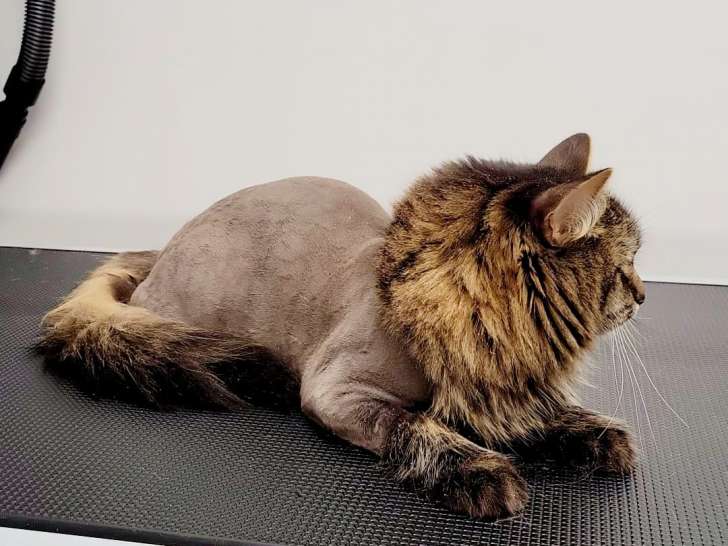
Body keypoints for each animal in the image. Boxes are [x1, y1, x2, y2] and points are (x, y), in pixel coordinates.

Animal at [37, 133, 643, 519]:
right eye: (627, 264)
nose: (642, 295)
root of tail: (160, 250)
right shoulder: (336, 389)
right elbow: (415, 424)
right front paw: (477, 470)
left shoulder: (501, 390)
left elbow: (541, 415)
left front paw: (588, 432)